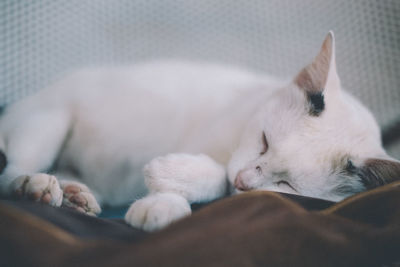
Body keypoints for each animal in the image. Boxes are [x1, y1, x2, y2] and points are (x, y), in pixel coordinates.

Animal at [0, 31, 400, 230]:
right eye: (264, 141)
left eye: (286, 185)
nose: (243, 180)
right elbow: (216, 174)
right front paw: (169, 189)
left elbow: (218, 183)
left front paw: (164, 200)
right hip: (48, 122)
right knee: (10, 173)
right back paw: (34, 186)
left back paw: (73, 195)